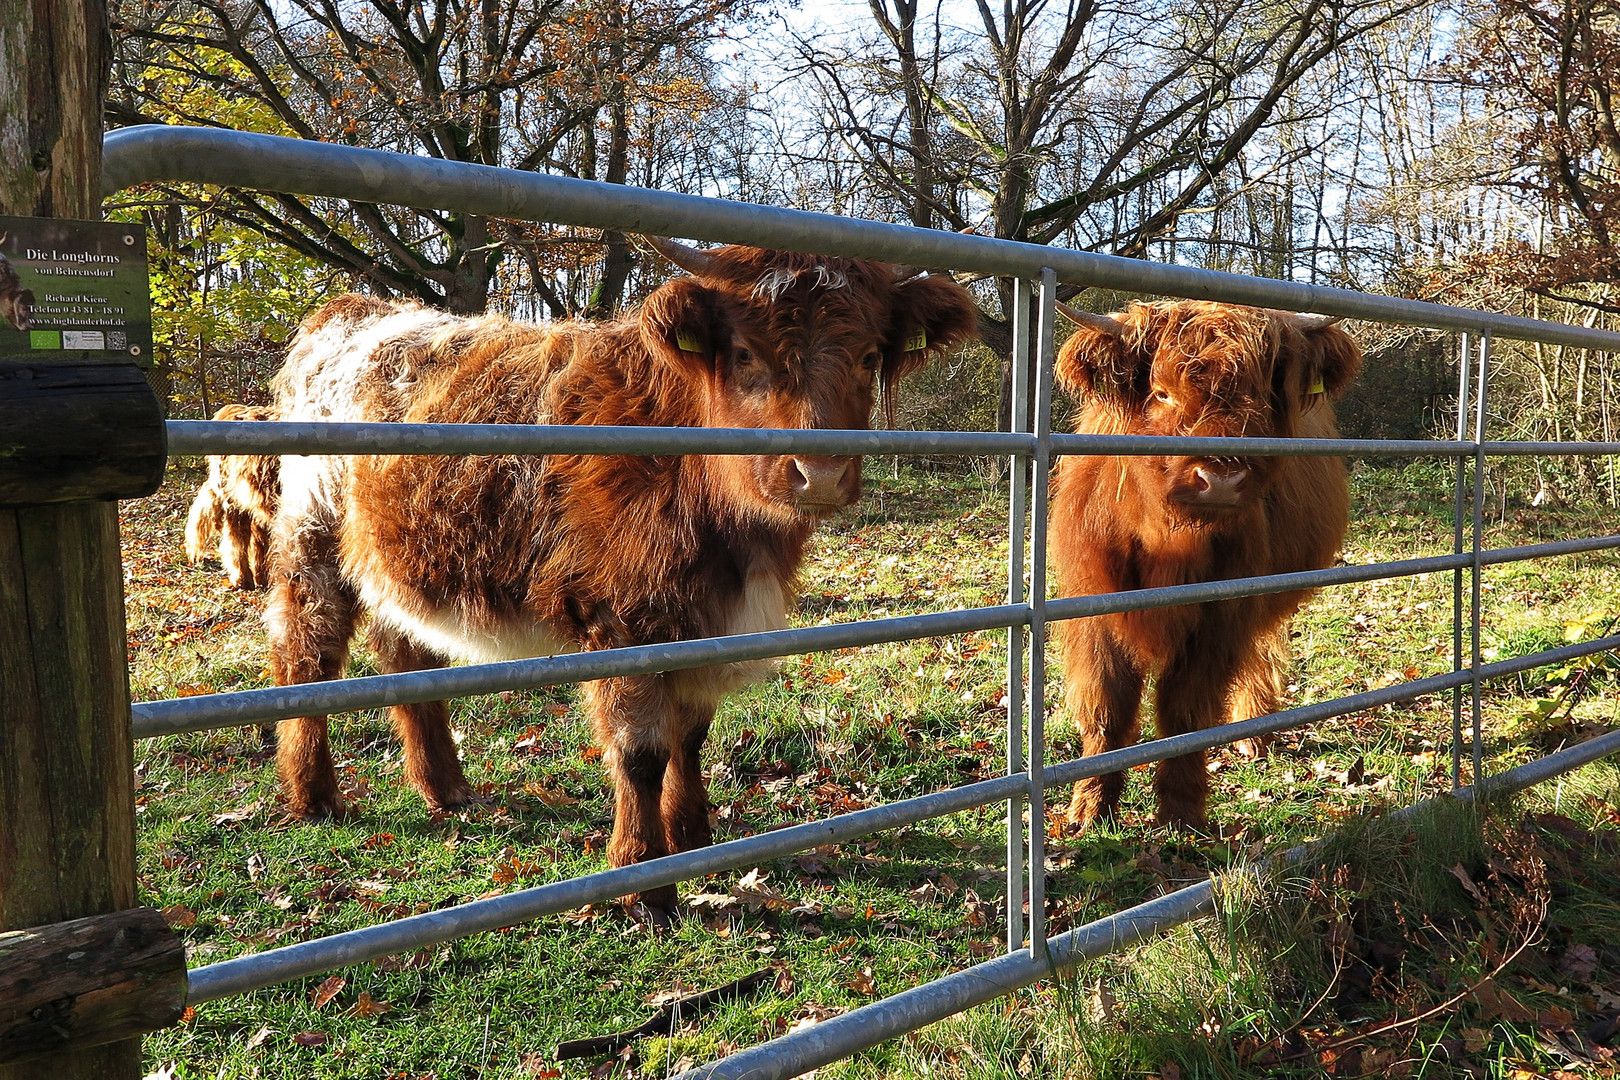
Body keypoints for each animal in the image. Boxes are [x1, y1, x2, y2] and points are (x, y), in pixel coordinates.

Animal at [265, 238, 972, 913]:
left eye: (868, 354)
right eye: (746, 353)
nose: (819, 473)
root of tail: (351, 310)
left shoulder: (704, 624)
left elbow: (691, 735)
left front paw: (692, 836)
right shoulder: (620, 621)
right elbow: (641, 751)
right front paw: (643, 880)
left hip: (393, 557)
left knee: (404, 655)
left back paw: (447, 788)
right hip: (312, 537)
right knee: (307, 654)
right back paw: (313, 794)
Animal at [1056, 299, 1360, 835]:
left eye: (1260, 398)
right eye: (1160, 393)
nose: (1221, 479)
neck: (1169, 541)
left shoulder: (1222, 614)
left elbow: (1186, 712)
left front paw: (1180, 812)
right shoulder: (1092, 609)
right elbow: (1108, 708)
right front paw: (1090, 809)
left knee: (1263, 648)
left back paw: (1254, 731)